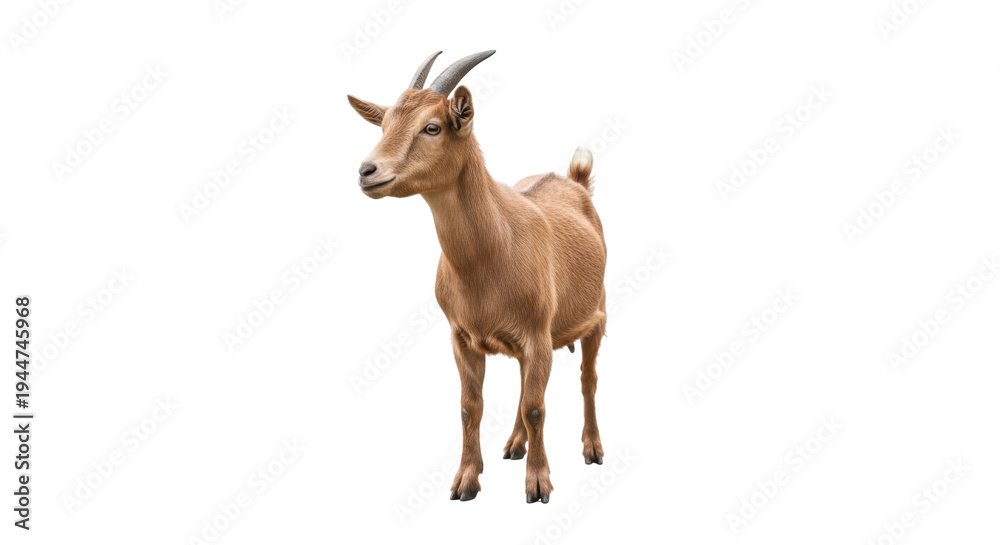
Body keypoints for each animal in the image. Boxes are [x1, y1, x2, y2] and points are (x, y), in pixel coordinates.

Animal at [348, 51, 607, 504]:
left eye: (432, 127)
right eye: (384, 124)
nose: (367, 171)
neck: (492, 256)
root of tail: (574, 181)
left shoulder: (538, 332)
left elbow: (536, 406)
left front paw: (538, 484)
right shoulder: (462, 337)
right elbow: (471, 407)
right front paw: (466, 481)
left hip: (598, 314)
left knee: (587, 379)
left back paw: (592, 449)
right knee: (525, 383)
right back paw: (515, 445)